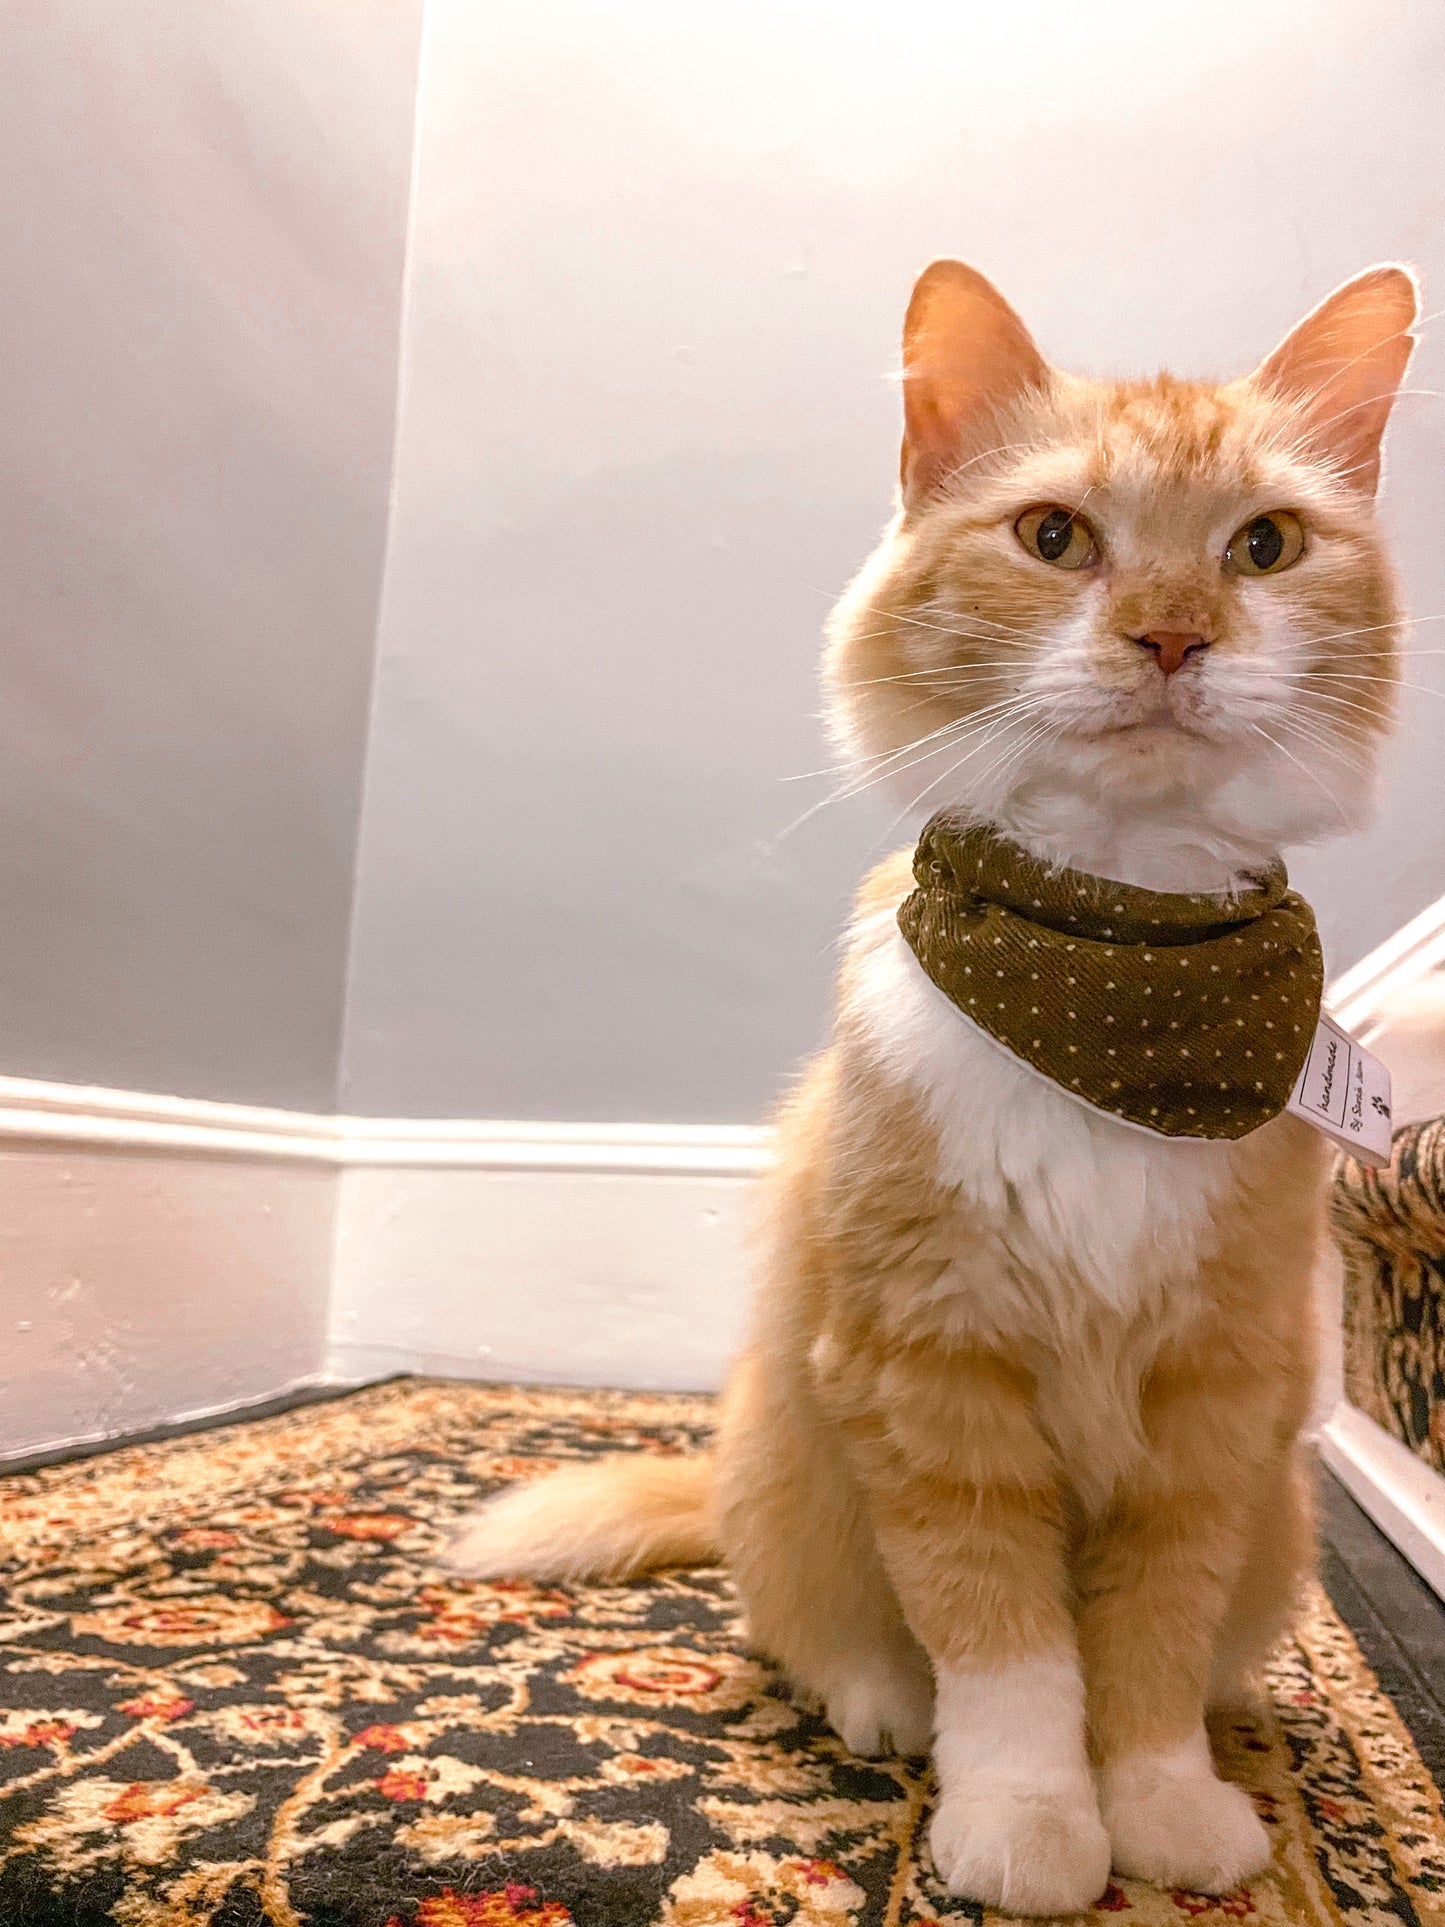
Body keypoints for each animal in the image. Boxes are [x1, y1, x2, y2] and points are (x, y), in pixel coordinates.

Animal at [446, 263, 1418, 1919]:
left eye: (1264, 547)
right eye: (1056, 537)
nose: (1171, 636)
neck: (1111, 980)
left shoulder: (1213, 1402)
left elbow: (1147, 1649)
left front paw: (1163, 1810)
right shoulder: (931, 1368)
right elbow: (1009, 1650)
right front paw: (1027, 1823)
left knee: (1210, 1652)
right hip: (793, 1457)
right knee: (816, 1631)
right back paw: (882, 1707)